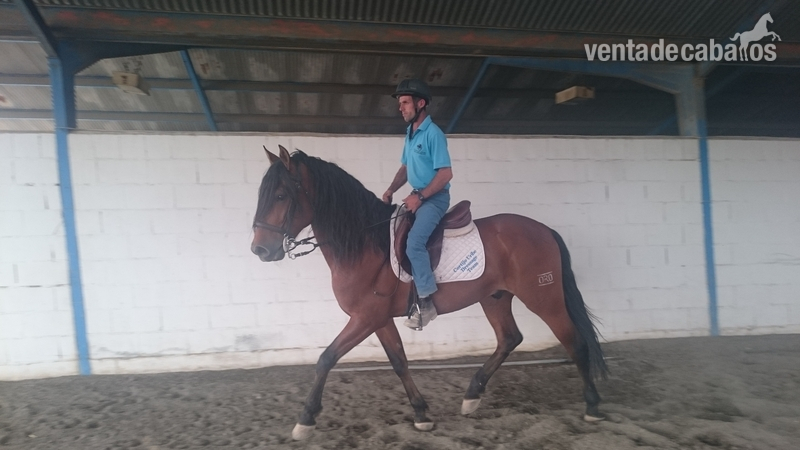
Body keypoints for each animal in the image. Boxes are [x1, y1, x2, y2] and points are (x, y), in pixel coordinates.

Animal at [251, 145, 608, 440]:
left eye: (281, 196)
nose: (259, 250)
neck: (366, 244)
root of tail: (544, 230)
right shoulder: (378, 319)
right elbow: (399, 361)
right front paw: (421, 414)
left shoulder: (365, 318)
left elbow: (326, 358)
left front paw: (305, 419)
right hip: (495, 297)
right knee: (509, 338)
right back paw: (472, 396)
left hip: (544, 298)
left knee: (574, 342)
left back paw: (592, 406)